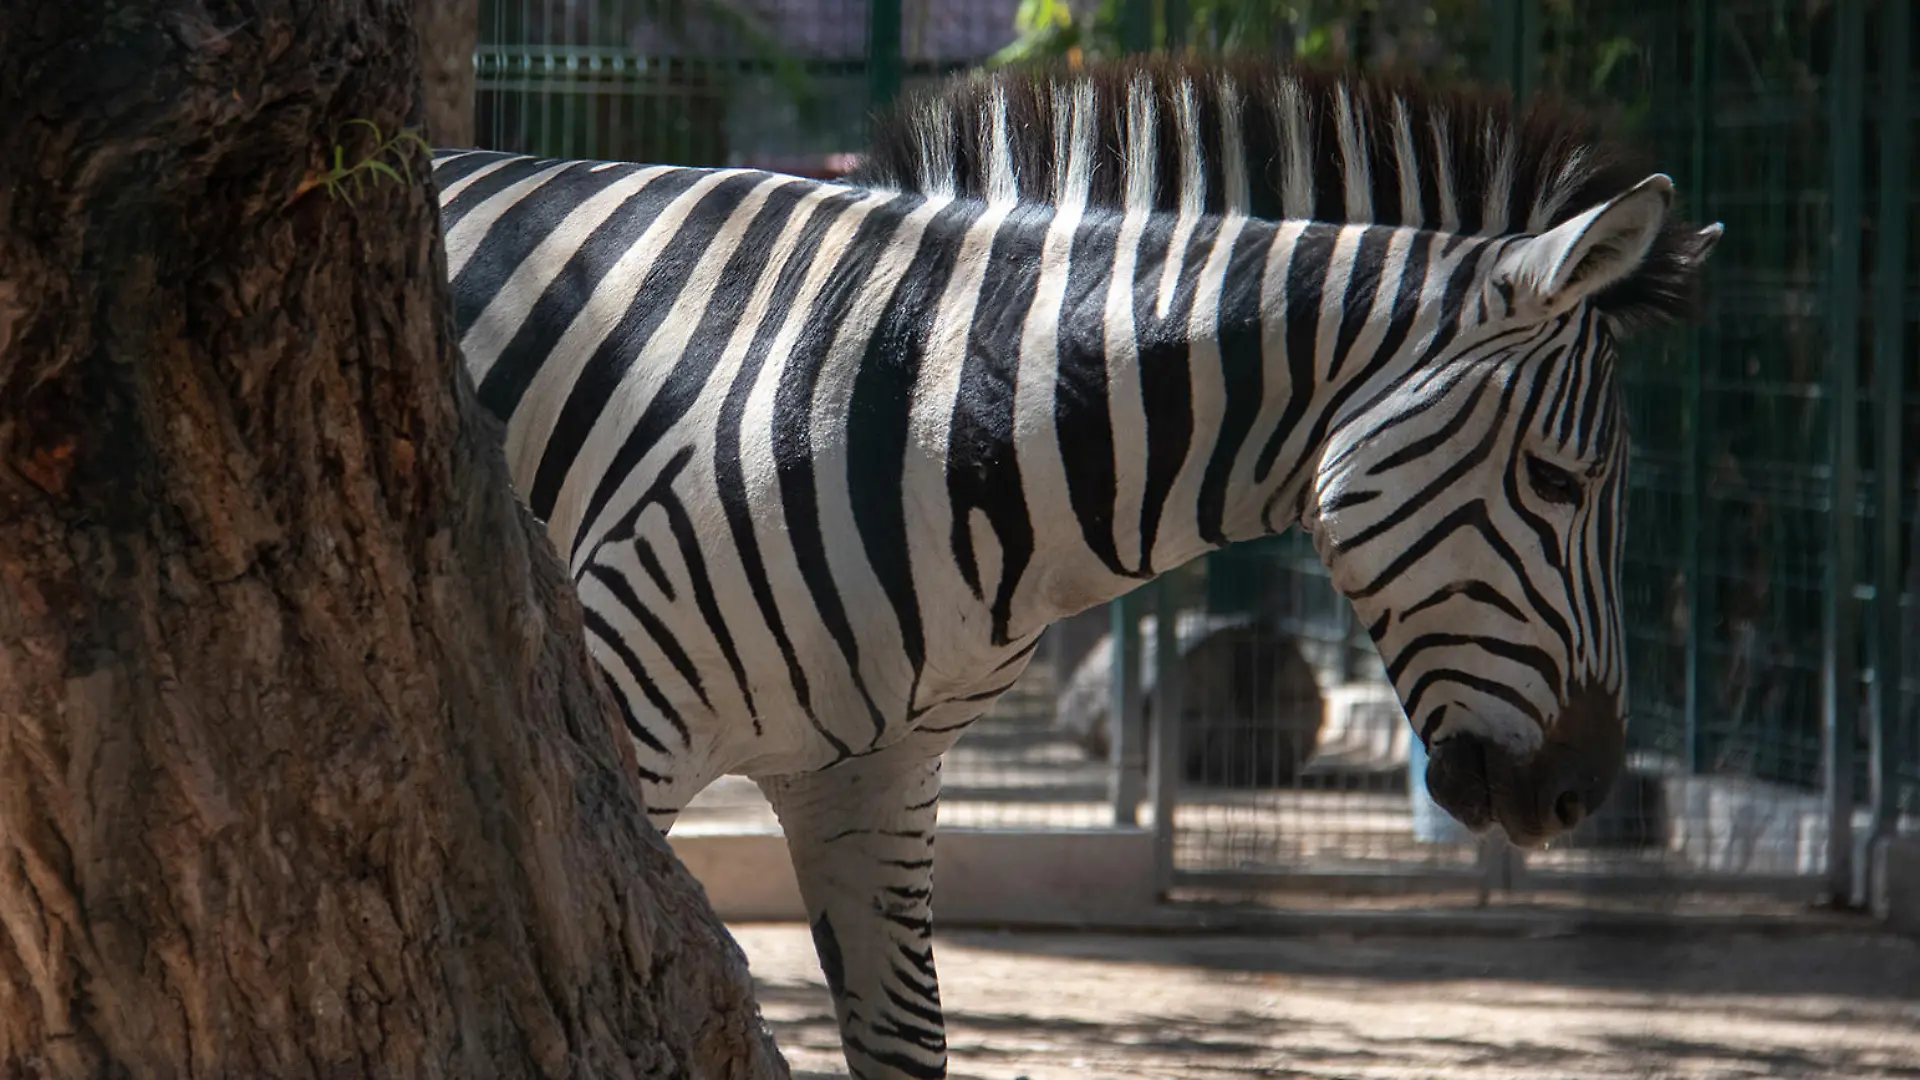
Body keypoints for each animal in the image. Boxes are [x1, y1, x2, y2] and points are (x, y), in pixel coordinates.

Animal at [431, 56, 1719, 1080]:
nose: (1584, 790)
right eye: (1558, 482)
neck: (964, 423)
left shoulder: (874, 779)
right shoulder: (608, 728)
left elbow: (908, 1044)